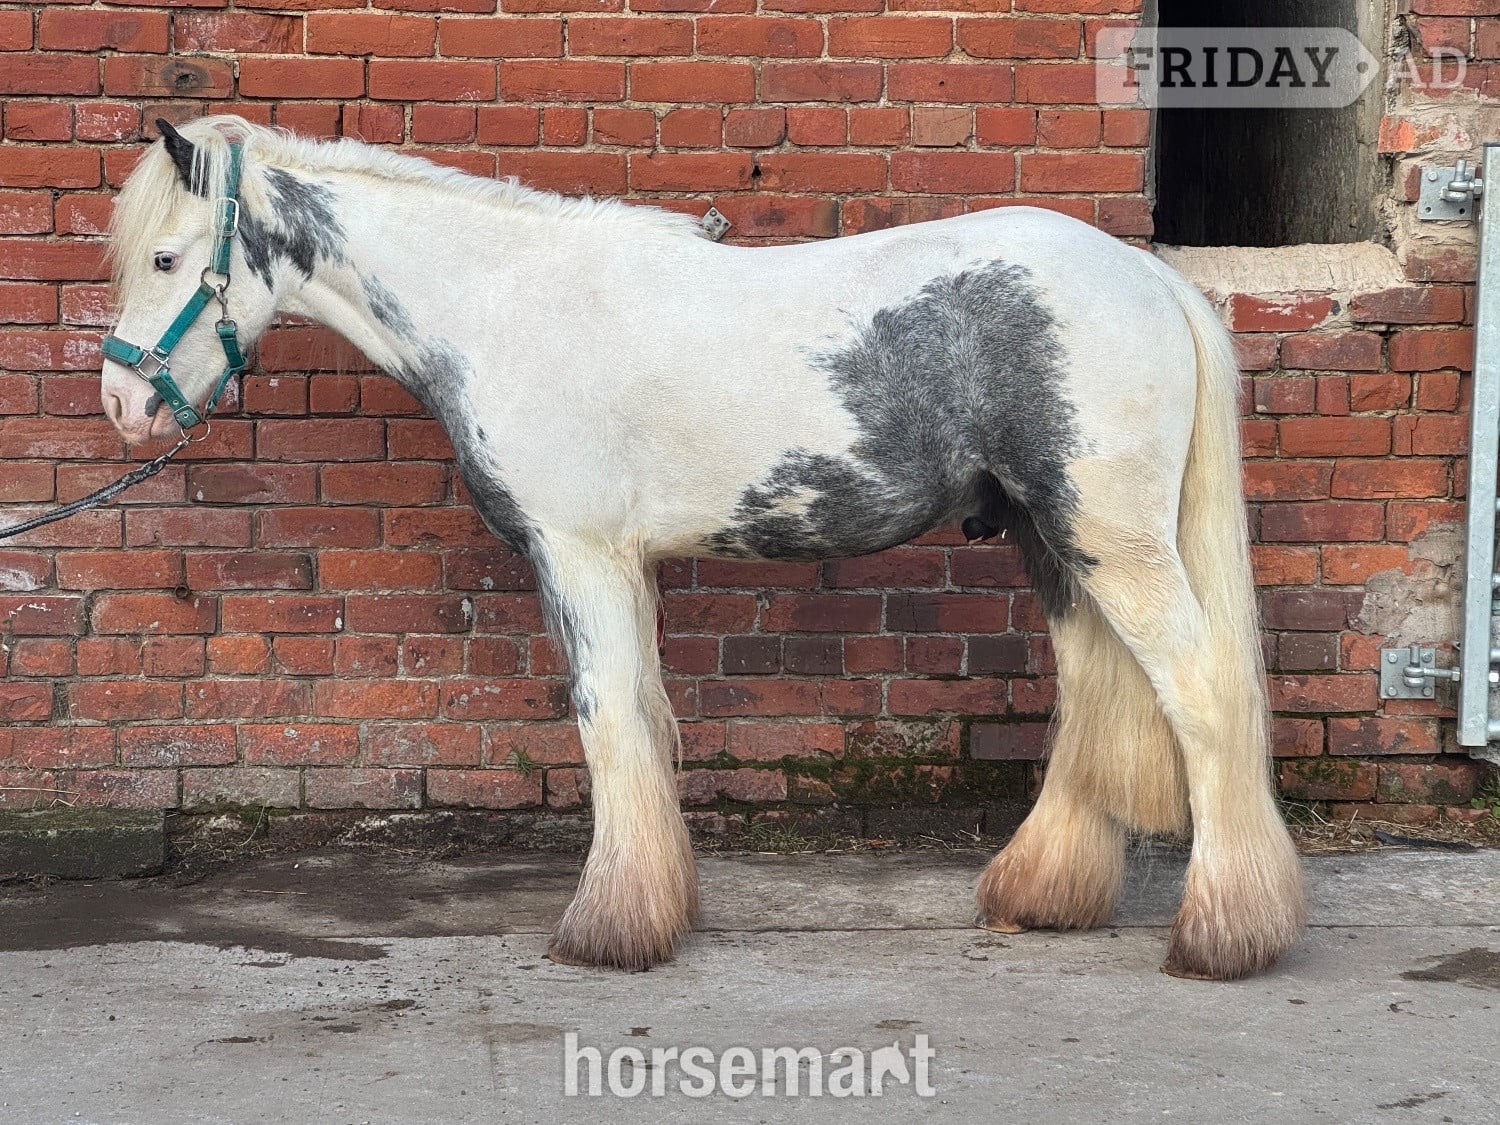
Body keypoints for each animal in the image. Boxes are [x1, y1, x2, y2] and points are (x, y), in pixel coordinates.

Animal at [98, 116, 1305, 981]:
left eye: (164, 256)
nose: (123, 407)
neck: (509, 306)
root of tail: (1150, 277)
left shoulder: (579, 553)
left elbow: (606, 722)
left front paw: (609, 929)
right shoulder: (615, 563)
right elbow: (638, 716)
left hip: (1110, 538)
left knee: (1205, 690)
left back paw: (1223, 937)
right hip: (1054, 540)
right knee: (1098, 697)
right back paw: (1042, 896)